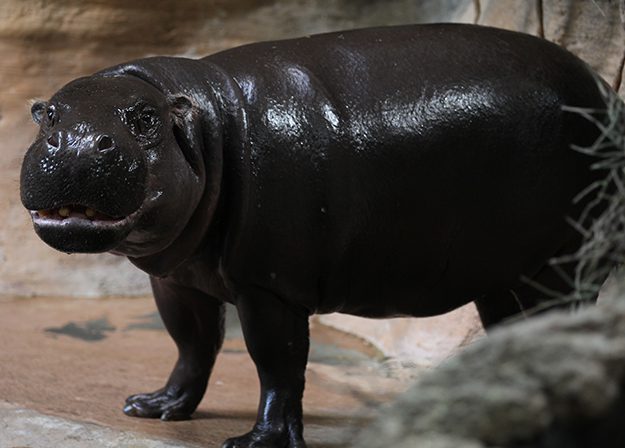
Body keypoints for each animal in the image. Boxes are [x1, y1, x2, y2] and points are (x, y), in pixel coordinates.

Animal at [19, 23, 616, 448]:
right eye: (48, 114)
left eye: (144, 118)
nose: (78, 142)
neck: (202, 122)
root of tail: (603, 86)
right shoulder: (179, 279)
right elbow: (191, 344)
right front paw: (153, 407)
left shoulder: (269, 287)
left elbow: (277, 362)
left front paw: (257, 442)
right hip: (502, 272)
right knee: (514, 326)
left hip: (562, 261)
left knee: (563, 318)